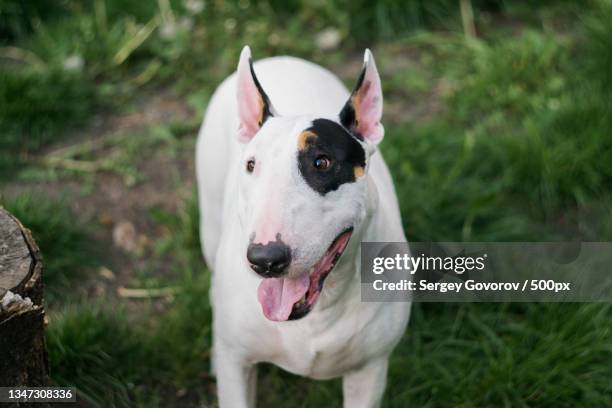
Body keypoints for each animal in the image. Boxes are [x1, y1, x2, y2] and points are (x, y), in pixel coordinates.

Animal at [197, 46, 412, 406]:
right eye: (251, 165)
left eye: (322, 162)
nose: (265, 259)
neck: (317, 312)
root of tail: (279, 58)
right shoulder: (237, 363)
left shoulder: (369, 370)